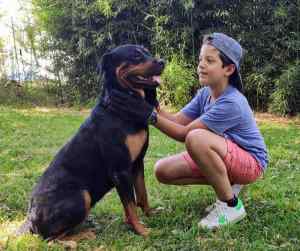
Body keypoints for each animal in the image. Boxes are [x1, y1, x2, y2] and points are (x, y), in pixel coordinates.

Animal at [17, 44, 164, 239]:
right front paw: (141, 230)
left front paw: (149, 215)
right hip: (81, 196)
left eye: (147, 51)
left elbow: (142, 195)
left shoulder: (137, 163)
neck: (119, 108)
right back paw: (85, 234)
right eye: (135, 55)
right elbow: (131, 205)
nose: (162, 62)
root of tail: (30, 221)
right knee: (52, 238)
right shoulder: (120, 170)